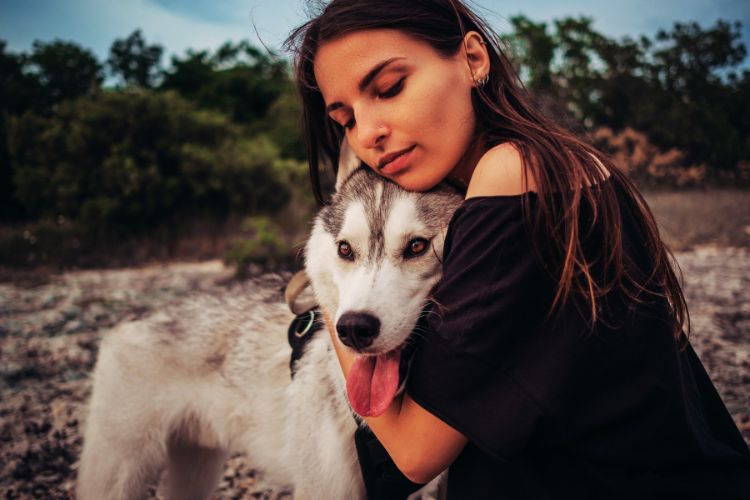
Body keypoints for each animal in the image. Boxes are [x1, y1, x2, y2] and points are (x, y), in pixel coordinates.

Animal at [78, 143, 464, 498]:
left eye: (417, 246)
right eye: (345, 249)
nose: (354, 328)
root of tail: (130, 319)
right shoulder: (321, 488)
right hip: (119, 471)